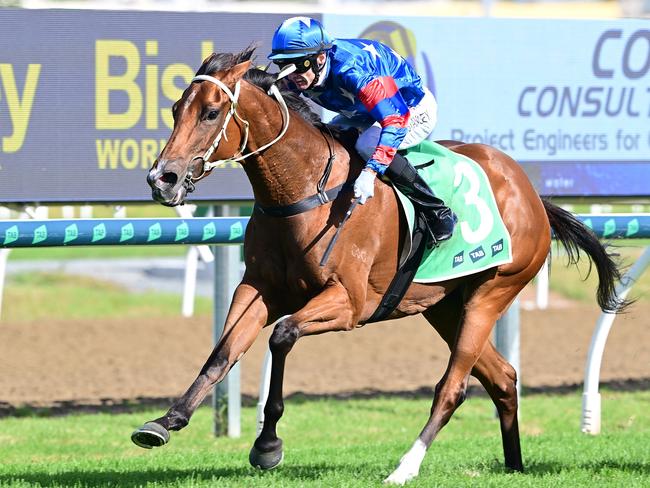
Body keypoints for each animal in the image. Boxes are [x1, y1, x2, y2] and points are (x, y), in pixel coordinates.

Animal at [135, 46, 616, 484]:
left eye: (211, 113)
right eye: (176, 109)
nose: (162, 179)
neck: (303, 189)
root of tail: (531, 194)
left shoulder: (348, 302)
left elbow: (282, 336)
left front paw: (267, 444)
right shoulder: (258, 288)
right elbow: (223, 352)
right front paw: (166, 421)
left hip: (492, 292)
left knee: (452, 388)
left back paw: (405, 468)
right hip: (444, 305)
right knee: (502, 377)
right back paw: (514, 466)